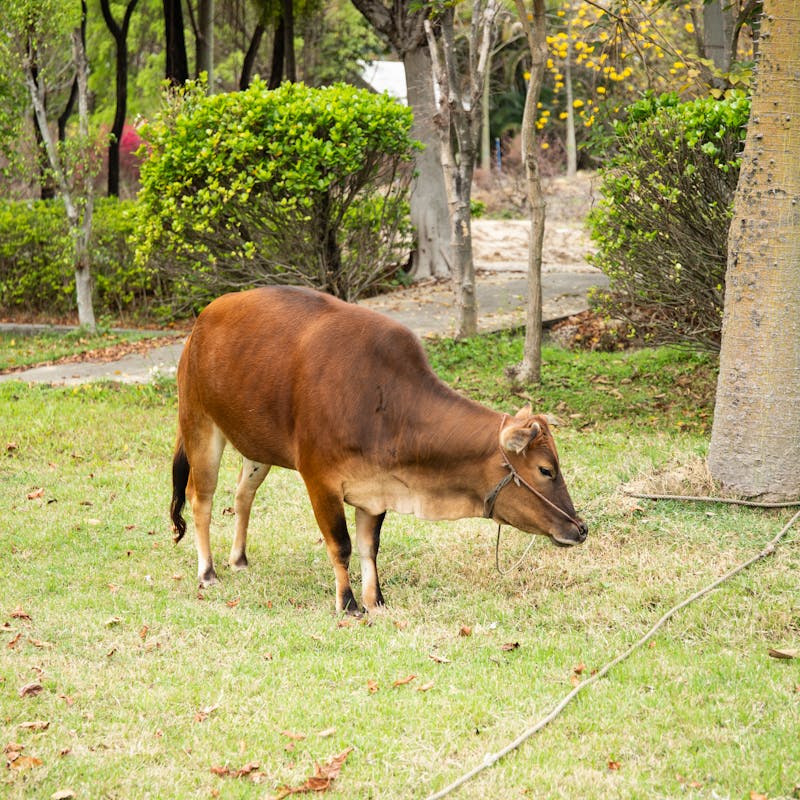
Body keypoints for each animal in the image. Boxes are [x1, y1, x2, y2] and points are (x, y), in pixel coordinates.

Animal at [170, 286, 587, 613]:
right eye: (546, 470)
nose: (579, 528)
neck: (385, 403)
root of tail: (203, 320)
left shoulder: (376, 488)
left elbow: (370, 547)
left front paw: (376, 599)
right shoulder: (319, 480)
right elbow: (341, 544)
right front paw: (349, 603)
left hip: (255, 446)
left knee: (243, 495)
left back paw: (238, 558)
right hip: (199, 424)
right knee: (200, 498)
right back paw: (208, 572)